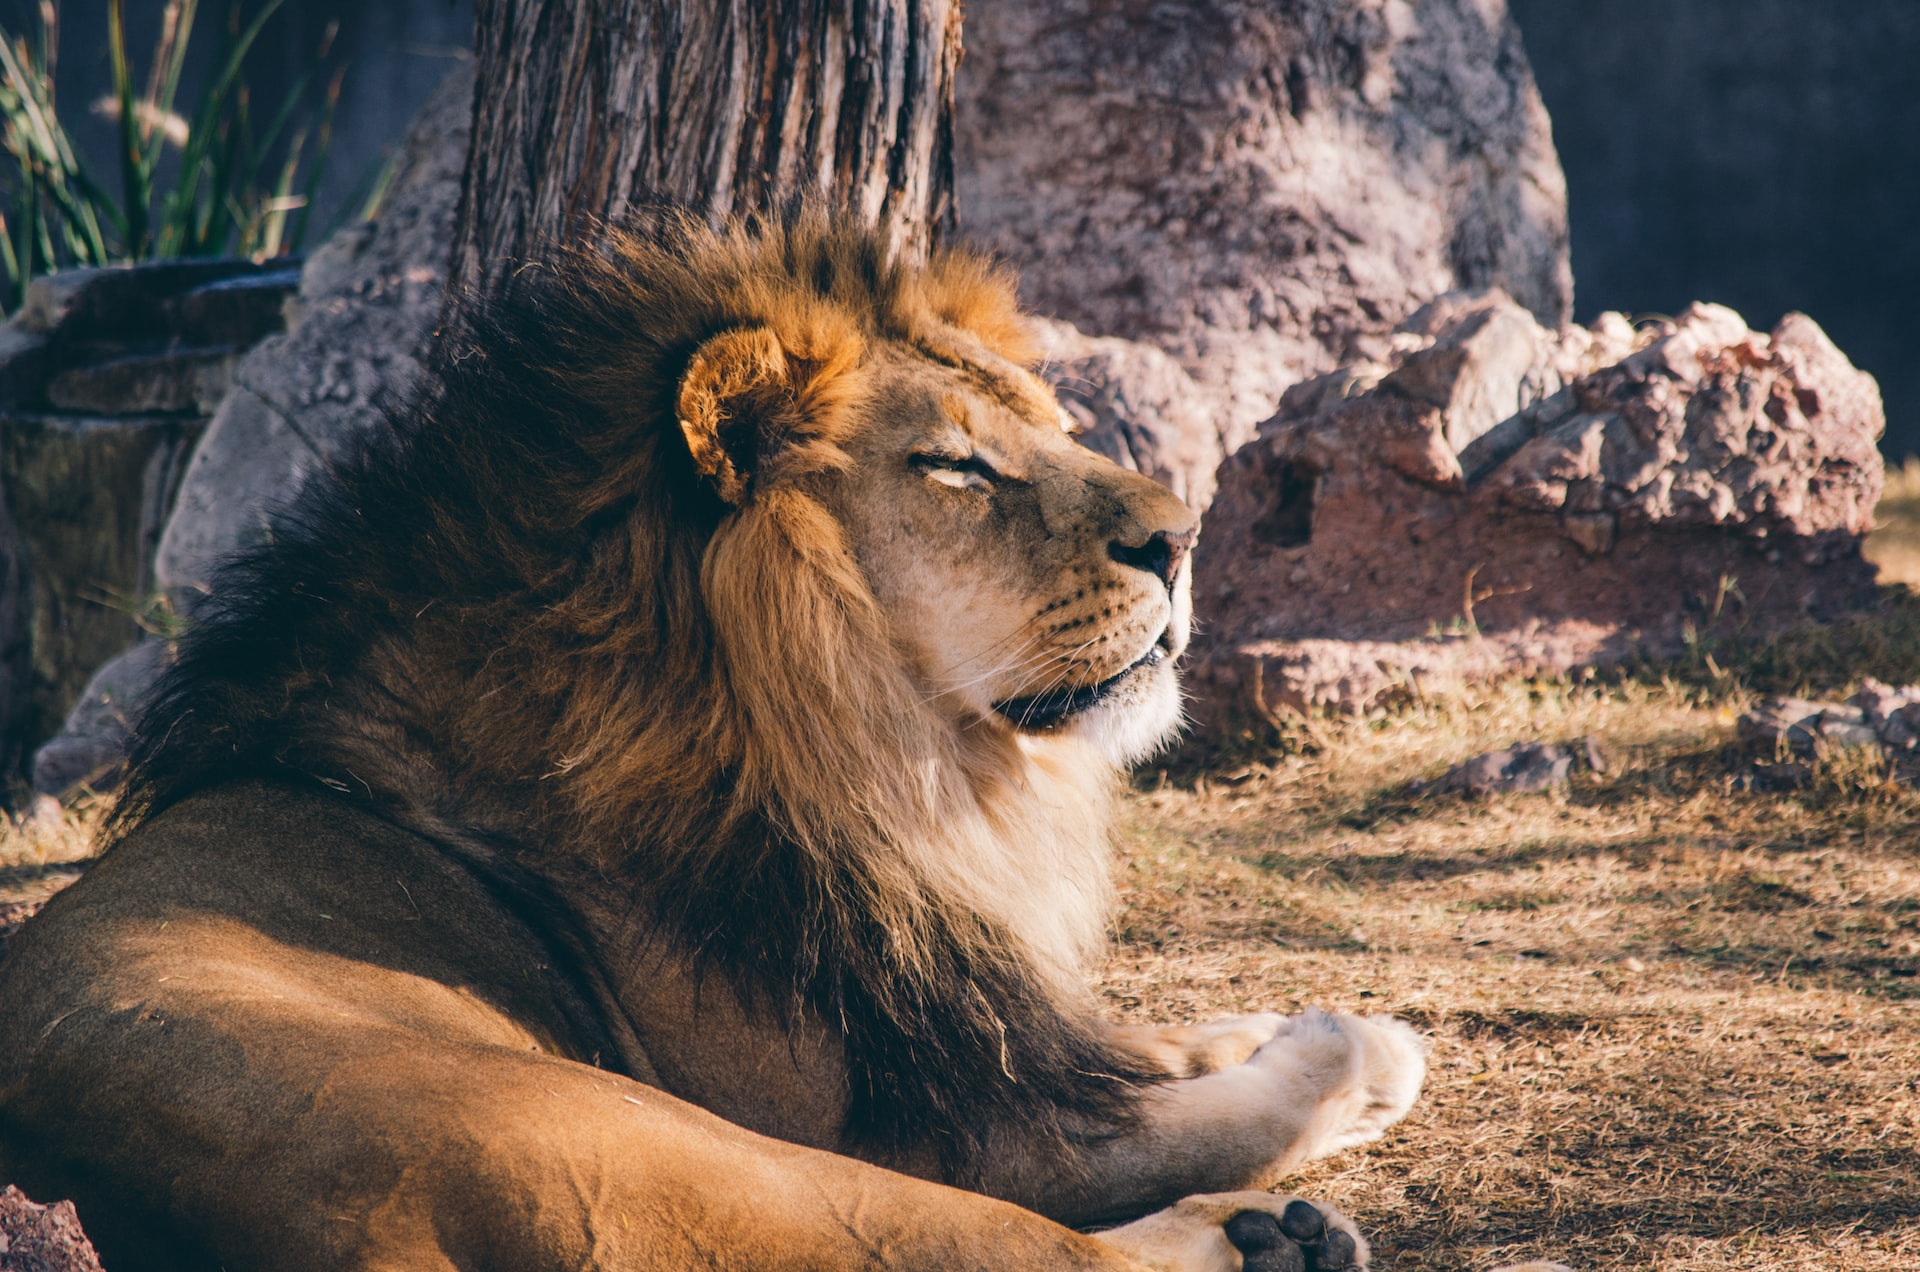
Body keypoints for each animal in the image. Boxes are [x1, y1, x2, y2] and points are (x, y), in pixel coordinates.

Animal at [0, 213, 1428, 1271]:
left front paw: (1268, 1021)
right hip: (658, 1141)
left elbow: (1133, 1048)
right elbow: (1187, 1118)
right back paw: (1272, 1239)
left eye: (1055, 427)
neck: (882, 765)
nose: (1185, 536)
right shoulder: (915, 1120)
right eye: (959, 468)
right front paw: (1349, 1050)